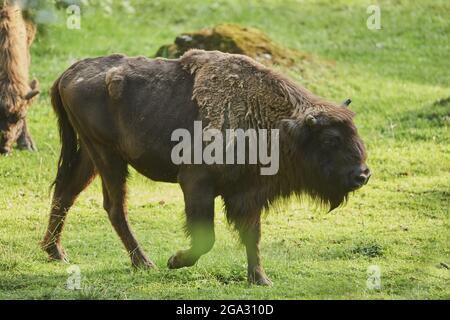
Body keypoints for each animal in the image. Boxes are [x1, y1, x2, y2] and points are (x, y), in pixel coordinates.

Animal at [42, 49, 370, 284]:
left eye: (355, 133)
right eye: (330, 139)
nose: (363, 174)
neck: (278, 125)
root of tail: (68, 74)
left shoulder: (248, 194)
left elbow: (253, 235)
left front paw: (260, 279)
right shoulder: (196, 183)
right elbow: (206, 238)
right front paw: (175, 261)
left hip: (90, 156)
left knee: (66, 193)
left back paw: (55, 253)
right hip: (106, 156)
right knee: (113, 205)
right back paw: (144, 263)